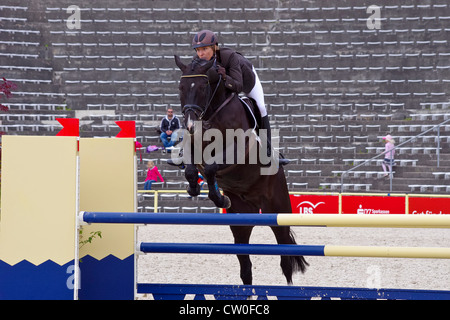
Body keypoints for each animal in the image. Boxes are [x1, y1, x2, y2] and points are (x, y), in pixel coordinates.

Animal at [174, 55, 308, 284]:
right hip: (242, 222)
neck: (212, 113)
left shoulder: (238, 151)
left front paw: (219, 198)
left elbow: (211, 168)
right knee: (245, 265)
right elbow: (193, 170)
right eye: (181, 87)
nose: (190, 124)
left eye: (202, 87)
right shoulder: (193, 146)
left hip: (278, 212)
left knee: (285, 258)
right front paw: (197, 190)